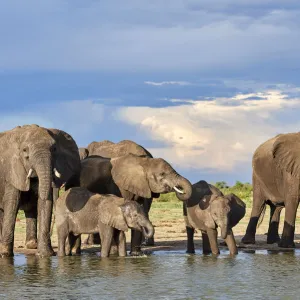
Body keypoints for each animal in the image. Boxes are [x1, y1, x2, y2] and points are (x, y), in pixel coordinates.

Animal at [0, 125, 81, 256]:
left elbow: (44, 202)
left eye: (54, 149)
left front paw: (45, 255)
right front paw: (5, 254)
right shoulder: (12, 169)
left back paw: (32, 245)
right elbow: (13, 202)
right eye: (24, 150)